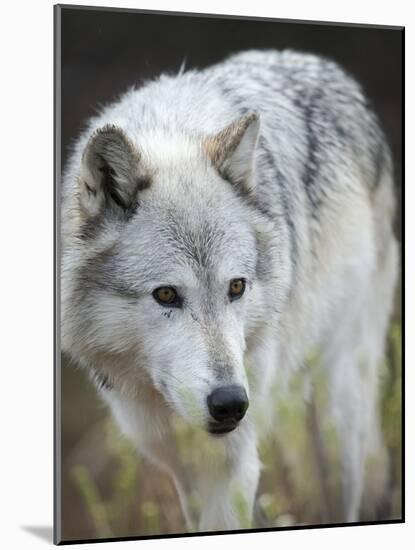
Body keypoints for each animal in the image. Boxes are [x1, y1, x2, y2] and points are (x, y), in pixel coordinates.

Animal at [61, 49, 400, 532]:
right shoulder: (182, 466)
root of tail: (325, 66)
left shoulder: (232, 466)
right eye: (166, 295)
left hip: (339, 417)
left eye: (236, 287)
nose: (231, 404)